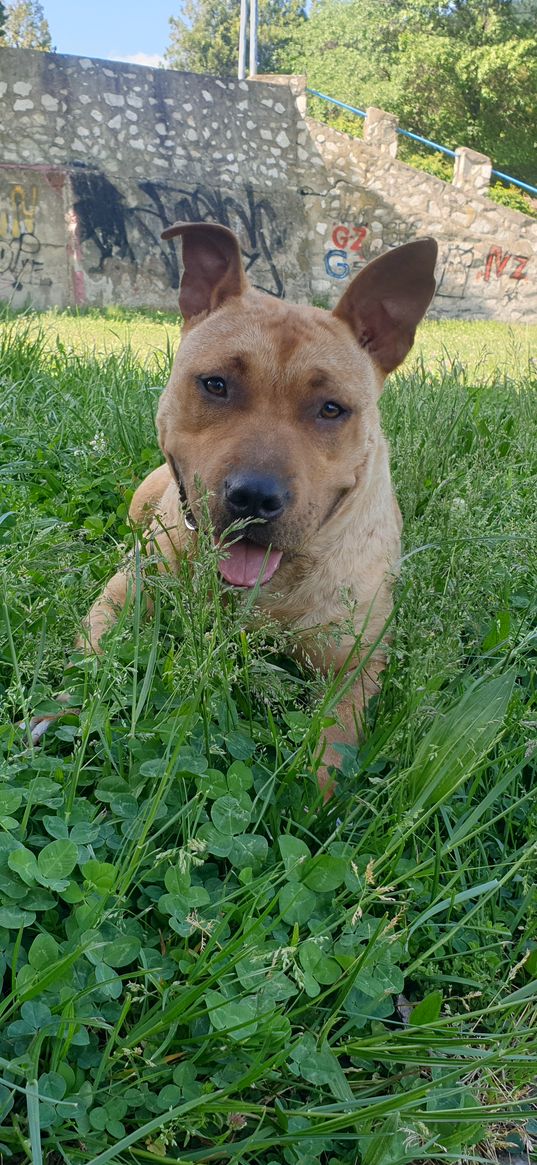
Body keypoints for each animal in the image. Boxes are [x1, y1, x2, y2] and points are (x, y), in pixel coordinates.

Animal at [28, 220, 435, 792]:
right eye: (215, 384)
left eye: (332, 409)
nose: (255, 497)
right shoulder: (125, 592)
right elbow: (93, 655)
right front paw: (61, 708)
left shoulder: (353, 666)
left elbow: (332, 744)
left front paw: (306, 797)